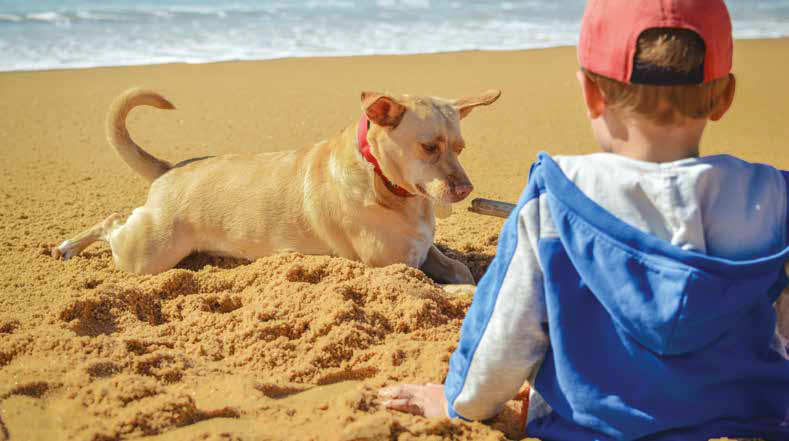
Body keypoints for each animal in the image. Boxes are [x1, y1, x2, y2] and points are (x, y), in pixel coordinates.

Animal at [52, 87, 498, 284]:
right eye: (429, 147)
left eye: (460, 147)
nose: (465, 190)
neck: (382, 180)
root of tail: (169, 169)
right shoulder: (394, 270)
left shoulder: (424, 250)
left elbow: (459, 268)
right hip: (148, 254)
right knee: (111, 220)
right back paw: (68, 246)